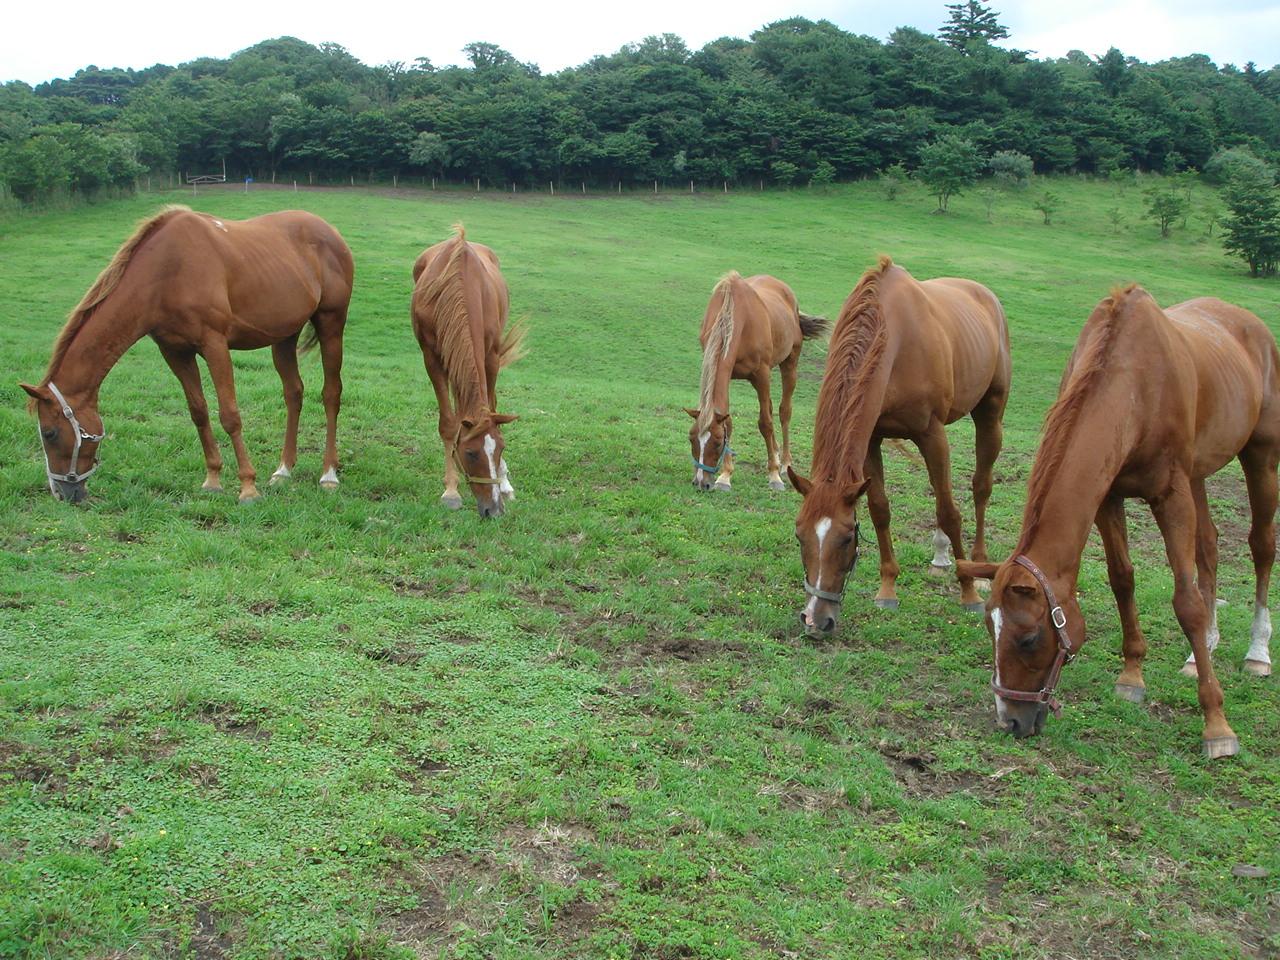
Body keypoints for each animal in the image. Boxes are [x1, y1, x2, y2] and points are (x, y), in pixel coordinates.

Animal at [20, 204, 358, 504]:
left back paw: (329, 474)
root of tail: (330, 231)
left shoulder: (215, 345)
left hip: (331, 324)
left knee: (331, 393)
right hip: (284, 337)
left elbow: (230, 415)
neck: (167, 271)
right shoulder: (175, 351)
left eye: (49, 433)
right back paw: (283, 470)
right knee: (294, 393)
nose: (61, 492)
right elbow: (198, 411)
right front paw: (213, 480)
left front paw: (248, 488)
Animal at [414, 225, 524, 519]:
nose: (493, 511)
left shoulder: (490, 357)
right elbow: (448, 424)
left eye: (501, 448)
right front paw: (451, 491)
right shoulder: (432, 358)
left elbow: (493, 408)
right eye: (472, 453)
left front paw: (504, 482)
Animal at [680, 272, 829, 491]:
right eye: (691, 438)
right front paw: (725, 476)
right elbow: (729, 421)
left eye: (717, 442)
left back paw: (785, 464)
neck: (736, 317)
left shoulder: (762, 374)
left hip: (789, 363)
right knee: (771, 407)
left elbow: (765, 423)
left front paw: (773, 475)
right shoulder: (728, 374)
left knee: (784, 412)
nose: (701, 482)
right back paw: (775, 454)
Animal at [788, 257, 1008, 640]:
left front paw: (967, 593)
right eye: (800, 536)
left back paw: (978, 568)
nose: (815, 621)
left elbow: (949, 512)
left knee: (980, 487)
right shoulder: (871, 440)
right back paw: (941, 555)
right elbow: (880, 510)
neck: (895, 340)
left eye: (847, 538)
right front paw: (888, 588)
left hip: (990, 414)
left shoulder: (931, 434)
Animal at [962, 285, 1280, 757]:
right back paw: (1199, 652)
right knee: (1209, 545)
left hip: (1260, 458)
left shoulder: (1170, 496)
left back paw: (1257, 652)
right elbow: (1122, 579)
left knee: (1261, 547)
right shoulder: (1108, 496)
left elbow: (1185, 602)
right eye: (989, 627)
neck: (1134, 386)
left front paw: (1217, 725)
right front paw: (1132, 675)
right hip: (1199, 473)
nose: (1010, 721)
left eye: (1029, 639)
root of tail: (1249, 323)